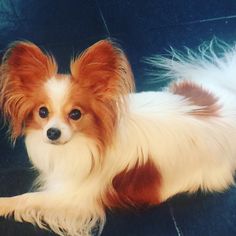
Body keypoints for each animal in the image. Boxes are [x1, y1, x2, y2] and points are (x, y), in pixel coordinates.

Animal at [0, 39, 236, 235]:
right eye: (43, 112)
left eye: (75, 114)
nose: (52, 132)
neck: (82, 142)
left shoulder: (75, 199)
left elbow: (28, 199)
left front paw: (4, 203)